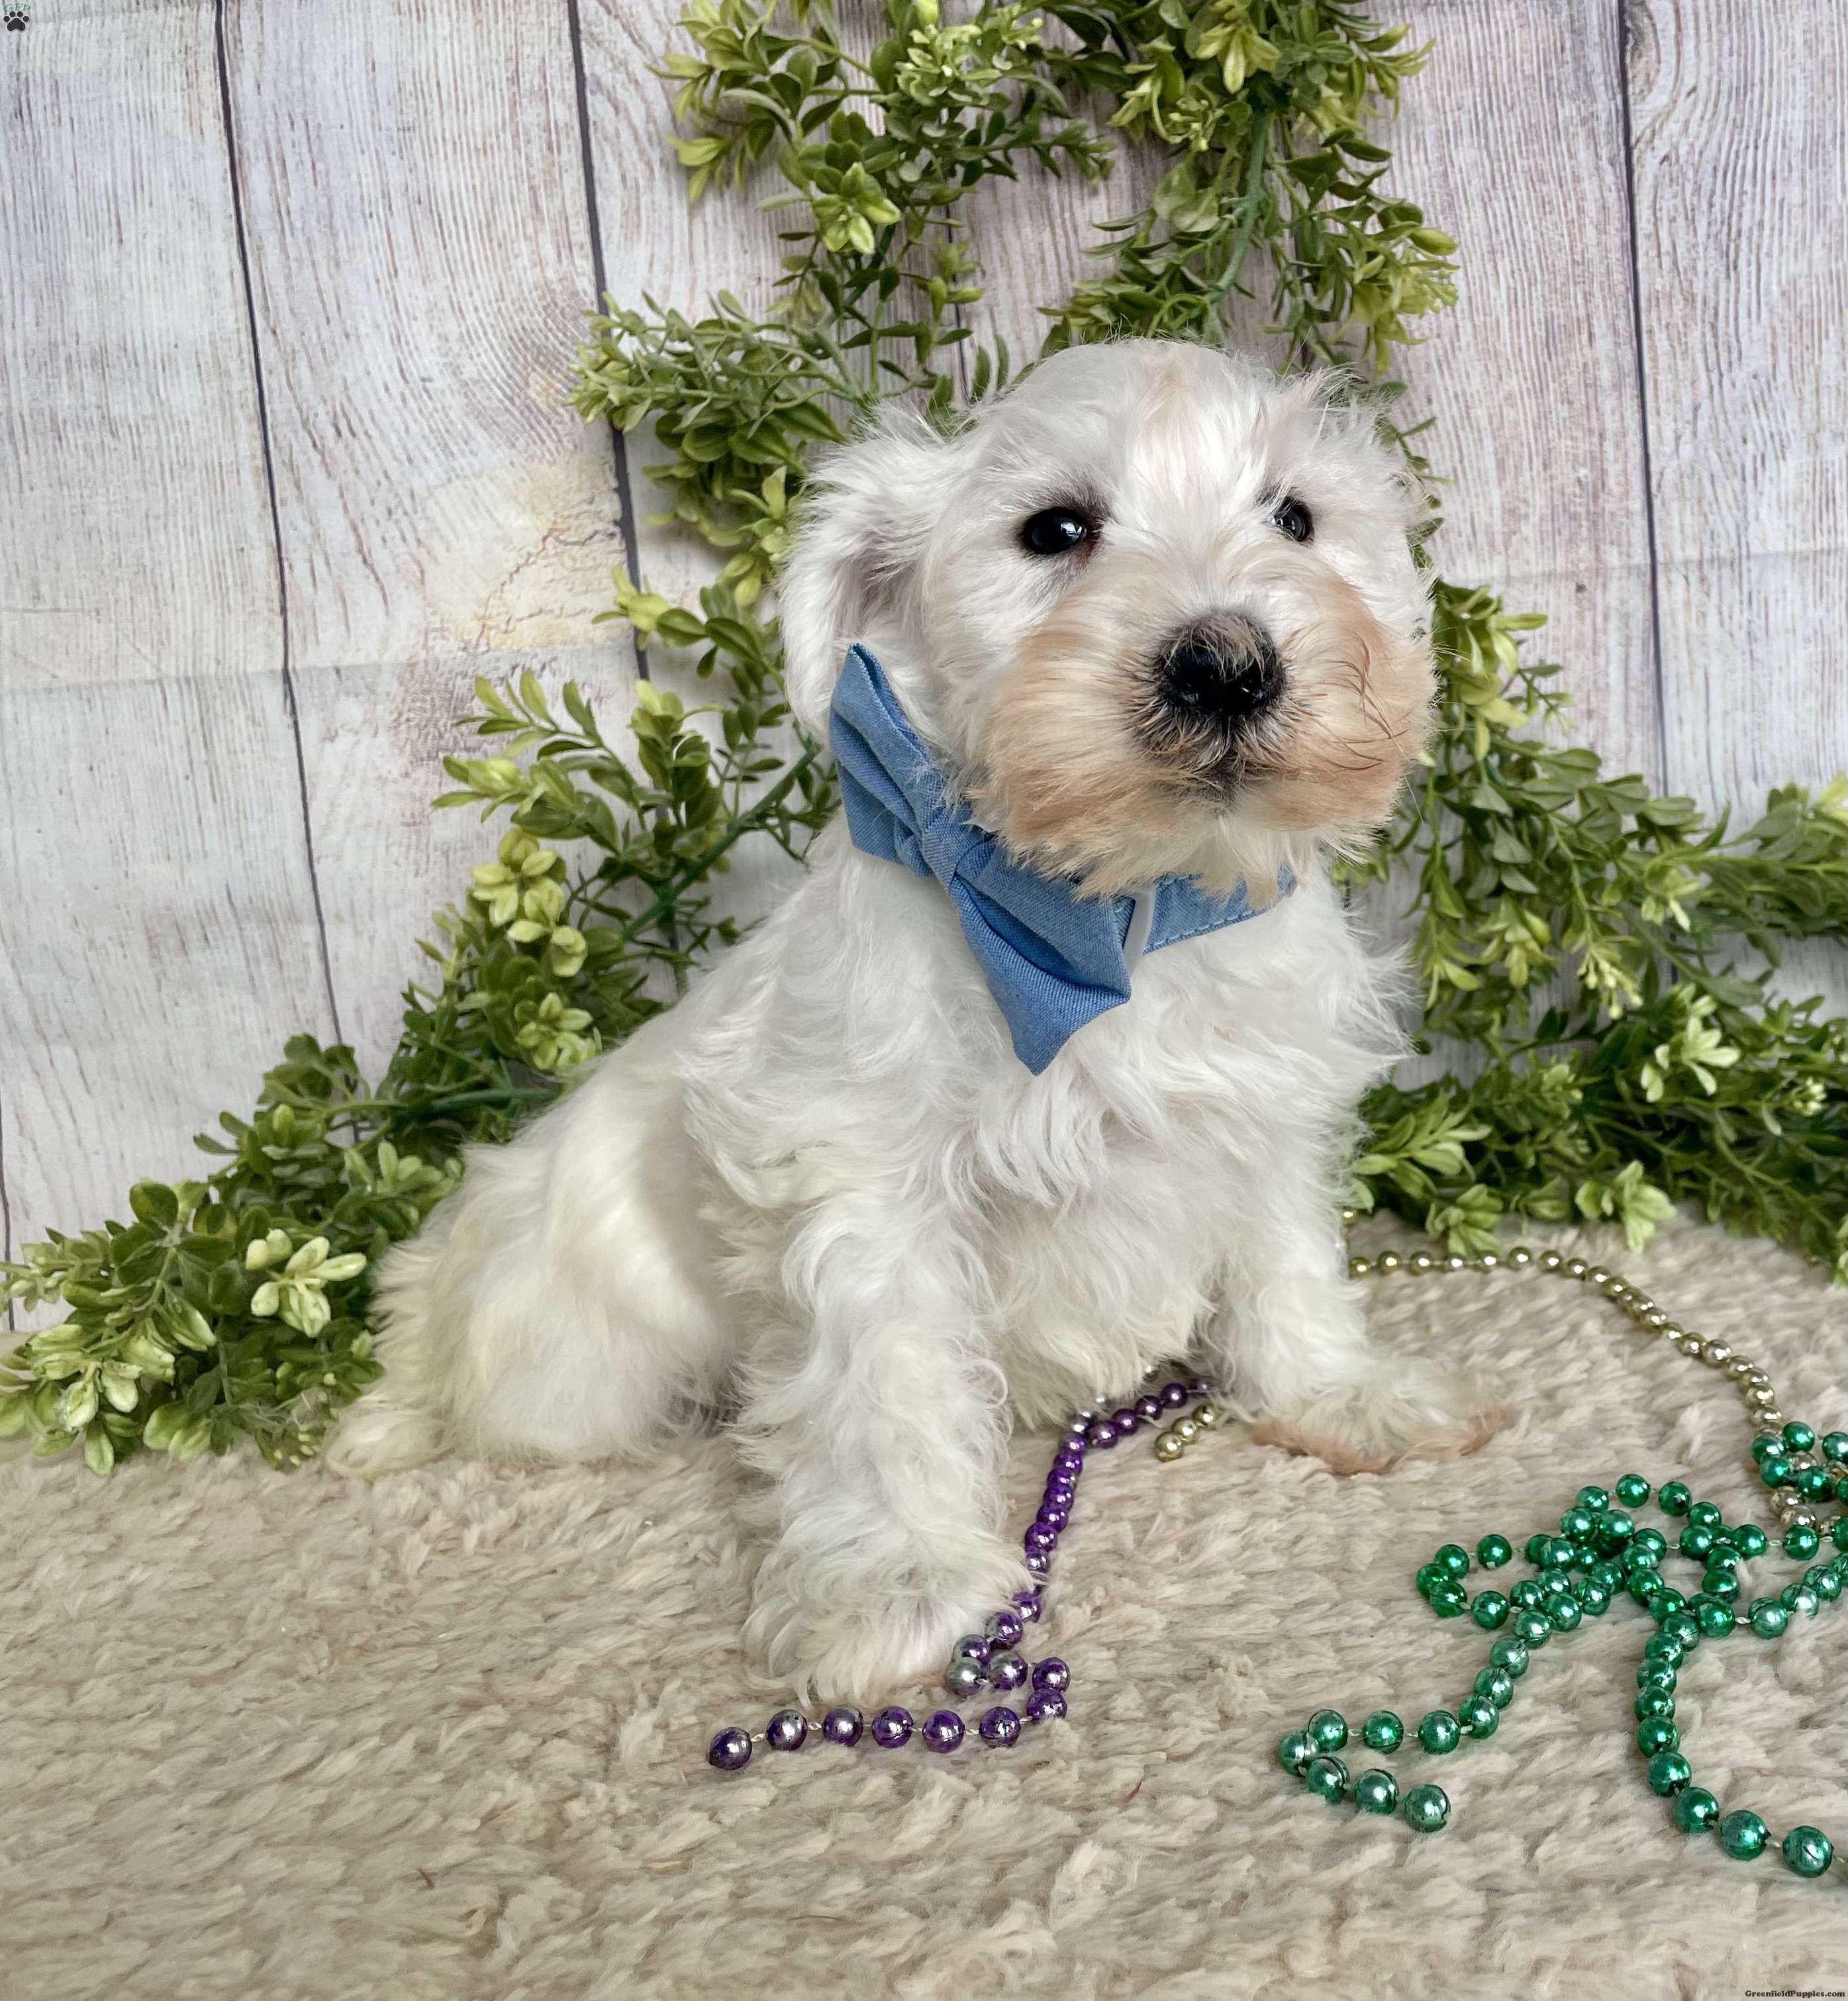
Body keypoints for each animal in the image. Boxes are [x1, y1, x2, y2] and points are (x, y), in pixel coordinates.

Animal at [327, 338, 1498, 1699]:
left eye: (1296, 518)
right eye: (1055, 529)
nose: (1225, 662)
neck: (1110, 915)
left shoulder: (1264, 1114)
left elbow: (1286, 1269)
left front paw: (1342, 1396)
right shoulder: (858, 1184)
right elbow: (877, 1385)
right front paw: (895, 1586)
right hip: (569, 1362)